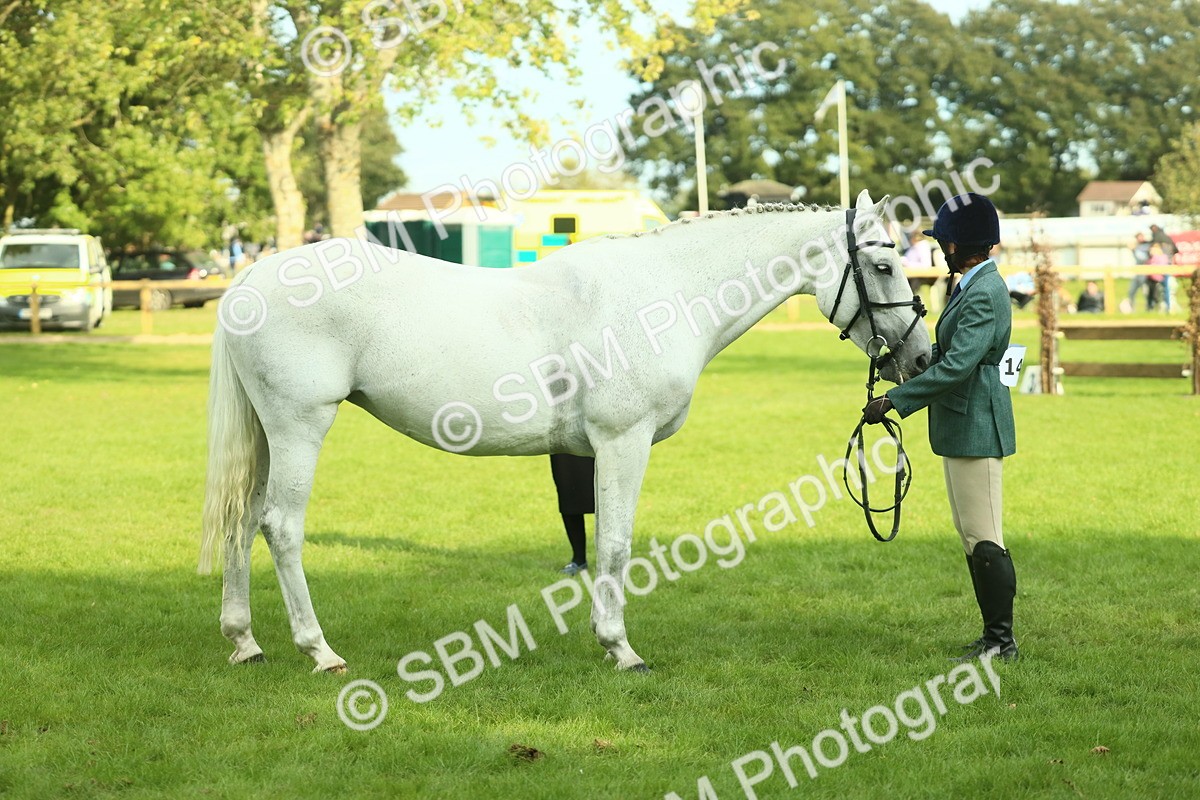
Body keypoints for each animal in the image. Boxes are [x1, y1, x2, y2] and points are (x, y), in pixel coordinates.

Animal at [199, 189, 931, 673]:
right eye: (885, 265)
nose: (921, 358)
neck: (662, 295)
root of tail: (250, 275)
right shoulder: (622, 442)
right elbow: (614, 544)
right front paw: (621, 648)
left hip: (265, 437)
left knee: (241, 520)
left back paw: (244, 641)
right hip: (299, 427)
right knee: (281, 527)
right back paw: (318, 651)